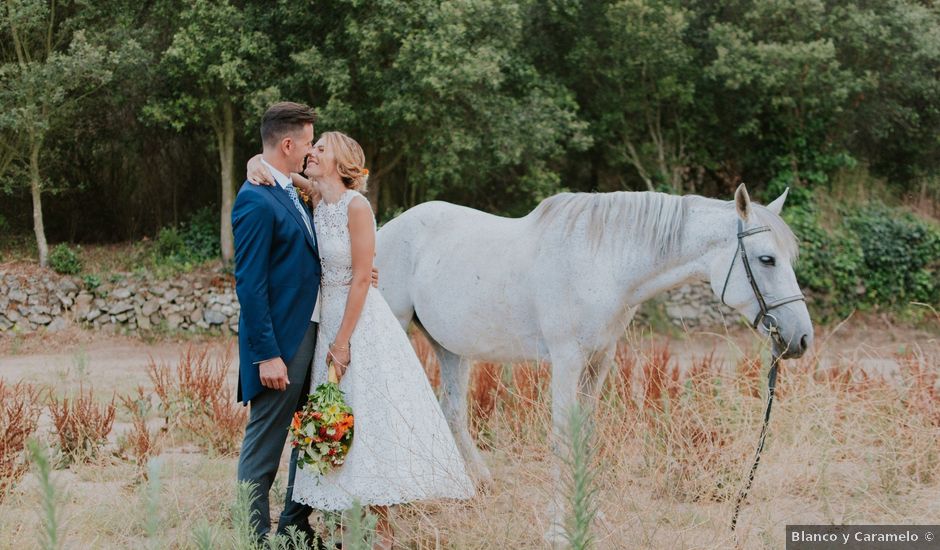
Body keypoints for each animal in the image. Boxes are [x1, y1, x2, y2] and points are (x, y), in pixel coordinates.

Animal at [372, 183, 808, 540]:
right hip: (397, 328)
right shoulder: (566, 360)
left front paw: (591, 515)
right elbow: (562, 438)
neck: (602, 263)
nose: (801, 338)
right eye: (767, 259)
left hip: (450, 347)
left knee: (451, 412)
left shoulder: (599, 361)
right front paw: (557, 529)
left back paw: (472, 486)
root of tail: (386, 229)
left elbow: (586, 435)